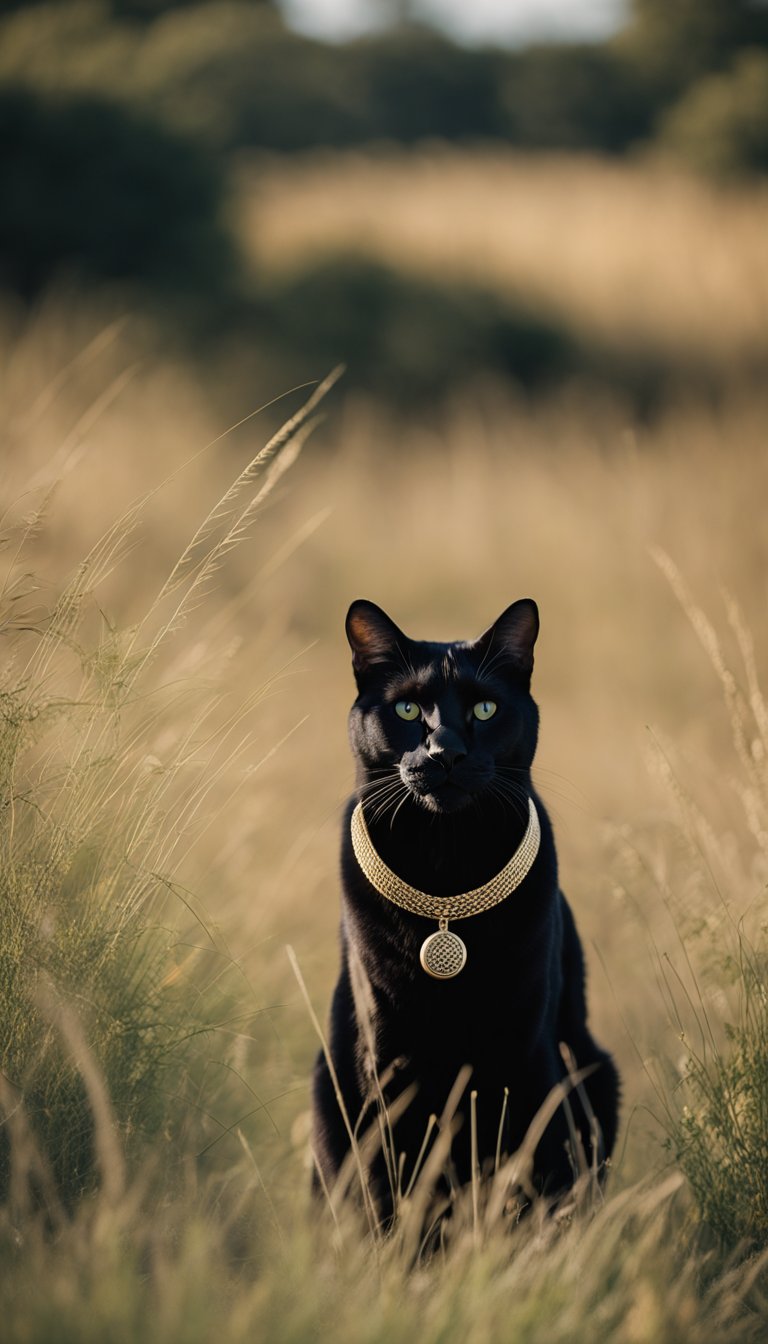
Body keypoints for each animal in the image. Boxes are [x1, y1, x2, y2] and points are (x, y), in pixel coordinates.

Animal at [312, 599, 618, 1231]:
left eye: (485, 708)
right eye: (407, 709)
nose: (445, 751)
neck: (446, 867)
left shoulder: (523, 1057)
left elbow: (526, 1188)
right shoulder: (388, 1065)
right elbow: (392, 1195)